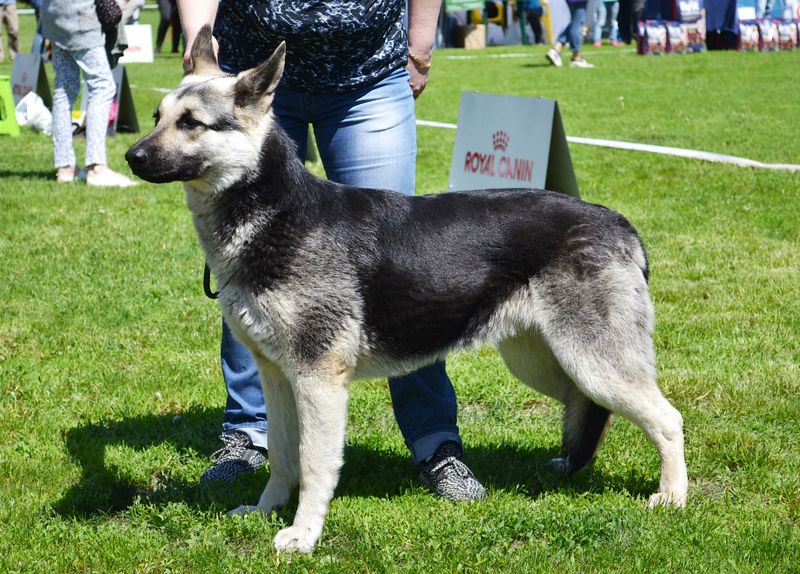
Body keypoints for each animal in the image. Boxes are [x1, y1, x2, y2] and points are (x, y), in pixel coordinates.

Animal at [126, 25, 688, 552]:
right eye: (156, 116)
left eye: (191, 123)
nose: (132, 156)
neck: (272, 209)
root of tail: (620, 224)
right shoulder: (278, 378)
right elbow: (283, 458)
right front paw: (266, 511)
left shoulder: (318, 381)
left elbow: (314, 465)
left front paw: (303, 534)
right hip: (545, 362)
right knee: (587, 405)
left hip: (592, 362)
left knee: (667, 418)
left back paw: (672, 497)